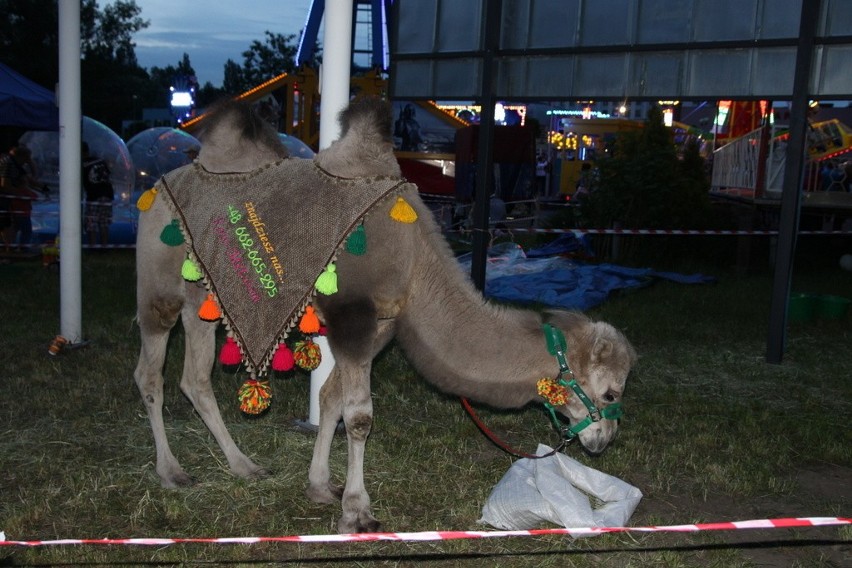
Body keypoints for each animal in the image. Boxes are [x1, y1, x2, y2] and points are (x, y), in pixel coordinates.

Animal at [135, 96, 640, 532]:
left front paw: (321, 487)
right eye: (611, 392)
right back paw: (171, 472)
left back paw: (243, 465)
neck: (415, 262)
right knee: (150, 374)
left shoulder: (380, 326)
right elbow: (359, 416)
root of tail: (155, 186)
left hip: (201, 299)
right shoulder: (354, 317)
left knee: (195, 378)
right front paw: (357, 512)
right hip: (159, 288)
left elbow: (331, 400)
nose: (606, 438)